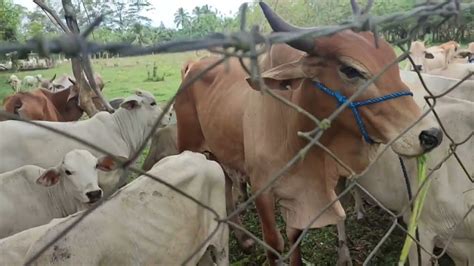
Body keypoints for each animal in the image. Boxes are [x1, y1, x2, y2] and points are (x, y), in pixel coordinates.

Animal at [175, 2, 444, 264]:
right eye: (350, 70)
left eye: (393, 63)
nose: (431, 135)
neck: (295, 134)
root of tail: (193, 66)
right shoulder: (262, 190)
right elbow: (274, 244)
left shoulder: (299, 194)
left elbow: (295, 237)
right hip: (189, 145)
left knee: (227, 189)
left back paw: (243, 239)